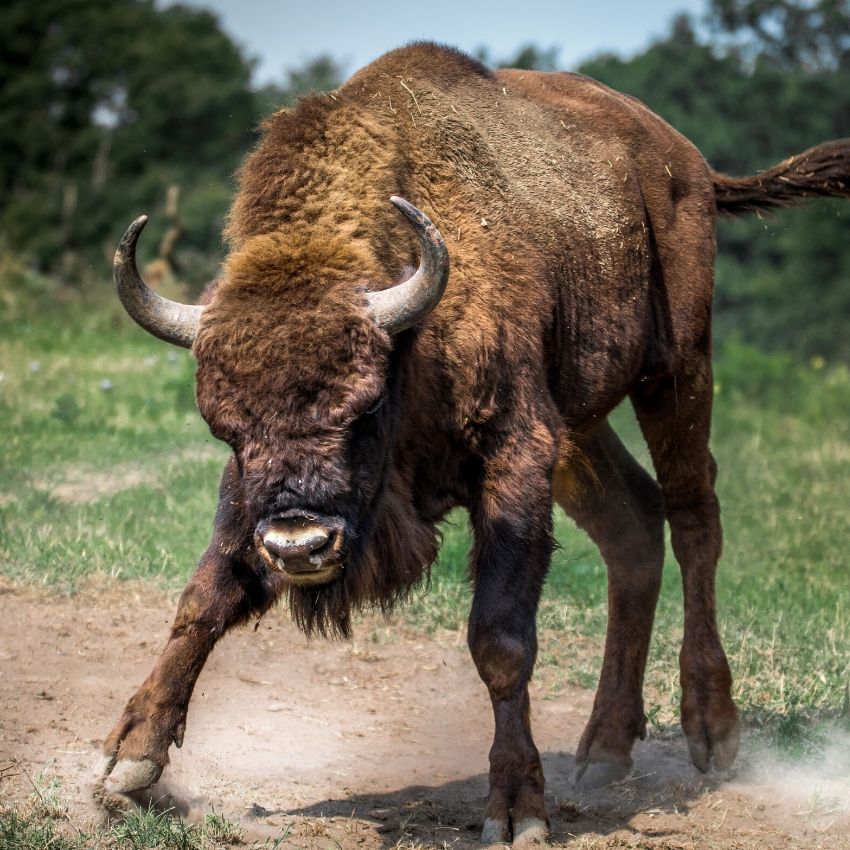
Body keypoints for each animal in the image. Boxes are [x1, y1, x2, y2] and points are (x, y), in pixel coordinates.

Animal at [97, 44, 848, 840]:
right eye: (224, 425)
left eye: (365, 406)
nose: (299, 546)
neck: (410, 334)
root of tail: (687, 162)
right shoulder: (254, 497)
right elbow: (206, 596)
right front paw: (128, 766)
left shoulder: (516, 457)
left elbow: (500, 640)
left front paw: (518, 811)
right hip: (579, 426)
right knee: (634, 526)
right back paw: (604, 749)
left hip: (675, 370)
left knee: (693, 514)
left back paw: (712, 729)